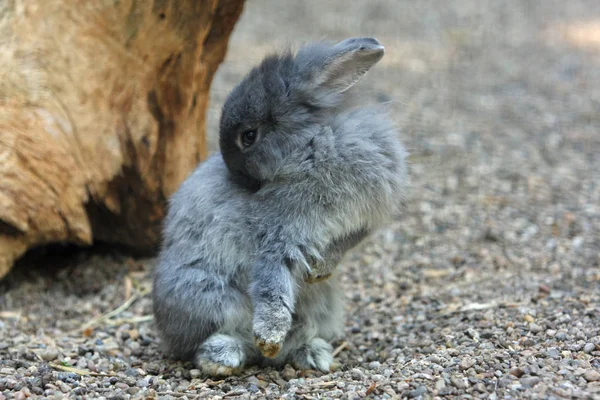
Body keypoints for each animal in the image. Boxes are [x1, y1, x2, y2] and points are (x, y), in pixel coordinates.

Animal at [152, 36, 410, 376]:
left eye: (249, 136)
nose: (239, 179)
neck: (311, 147)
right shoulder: (278, 239)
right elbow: (271, 288)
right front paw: (270, 337)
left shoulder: (355, 227)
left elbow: (339, 248)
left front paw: (318, 271)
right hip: (208, 297)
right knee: (206, 344)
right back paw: (227, 357)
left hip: (321, 309)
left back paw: (314, 355)